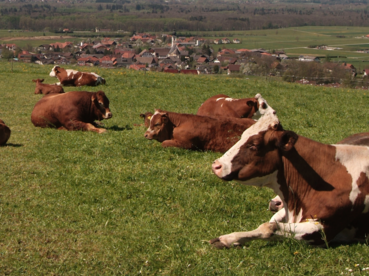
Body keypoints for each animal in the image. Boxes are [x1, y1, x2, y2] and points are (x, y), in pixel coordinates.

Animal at [208, 110, 368, 248]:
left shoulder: (323, 230)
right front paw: (230, 238)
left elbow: (268, 227)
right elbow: (271, 221)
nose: (216, 165)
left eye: (254, 145)